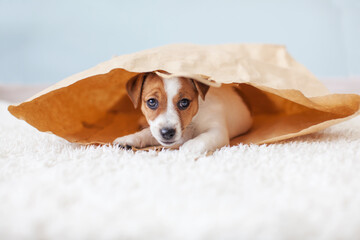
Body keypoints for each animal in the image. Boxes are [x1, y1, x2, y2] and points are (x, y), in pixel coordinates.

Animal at [114, 72, 252, 153]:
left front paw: (190, 147)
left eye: (184, 102)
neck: (192, 121)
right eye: (151, 101)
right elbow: (146, 133)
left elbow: (203, 138)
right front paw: (129, 138)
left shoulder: (217, 130)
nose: (167, 133)